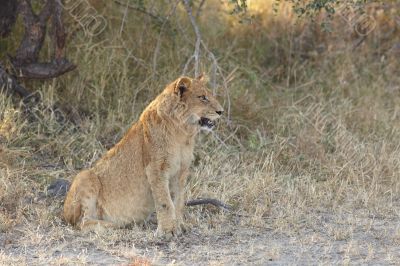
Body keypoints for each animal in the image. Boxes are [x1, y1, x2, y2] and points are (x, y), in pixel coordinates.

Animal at [64, 75, 223, 239]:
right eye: (202, 97)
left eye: (209, 96)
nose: (221, 111)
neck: (183, 133)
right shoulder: (155, 168)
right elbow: (164, 201)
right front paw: (168, 230)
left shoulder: (181, 171)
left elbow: (178, 201)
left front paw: (180, 226)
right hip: (85, 176)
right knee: (81, 223)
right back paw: (114, 225)